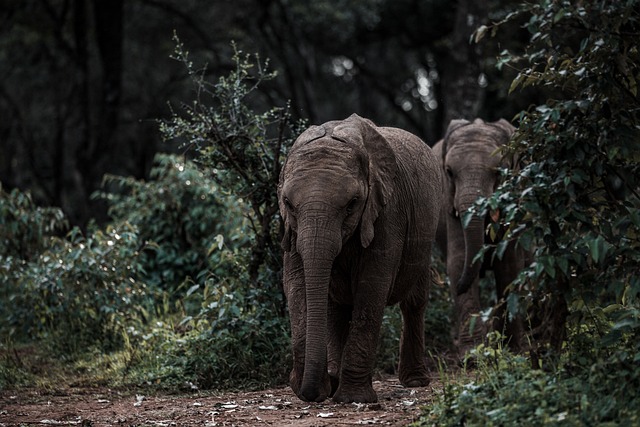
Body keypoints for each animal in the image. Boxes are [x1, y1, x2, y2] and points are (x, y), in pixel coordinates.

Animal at [278, 113, 442, 404]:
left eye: (352, 203)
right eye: (287, 203)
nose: (313, 391)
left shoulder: (388, 210)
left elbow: (371, 284)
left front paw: (353, 398)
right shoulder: (291, 229)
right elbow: (296, 284)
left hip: (426, 235)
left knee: (414, 302)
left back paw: (415, 381)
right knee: (336, 311)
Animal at [432, 118, 528, 360]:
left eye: (499, 172)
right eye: (449, 172)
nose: (455, 286)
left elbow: (509, 265)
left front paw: (514, 349)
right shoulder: (449, 202)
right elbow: (458, 261)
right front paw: (472, 355)